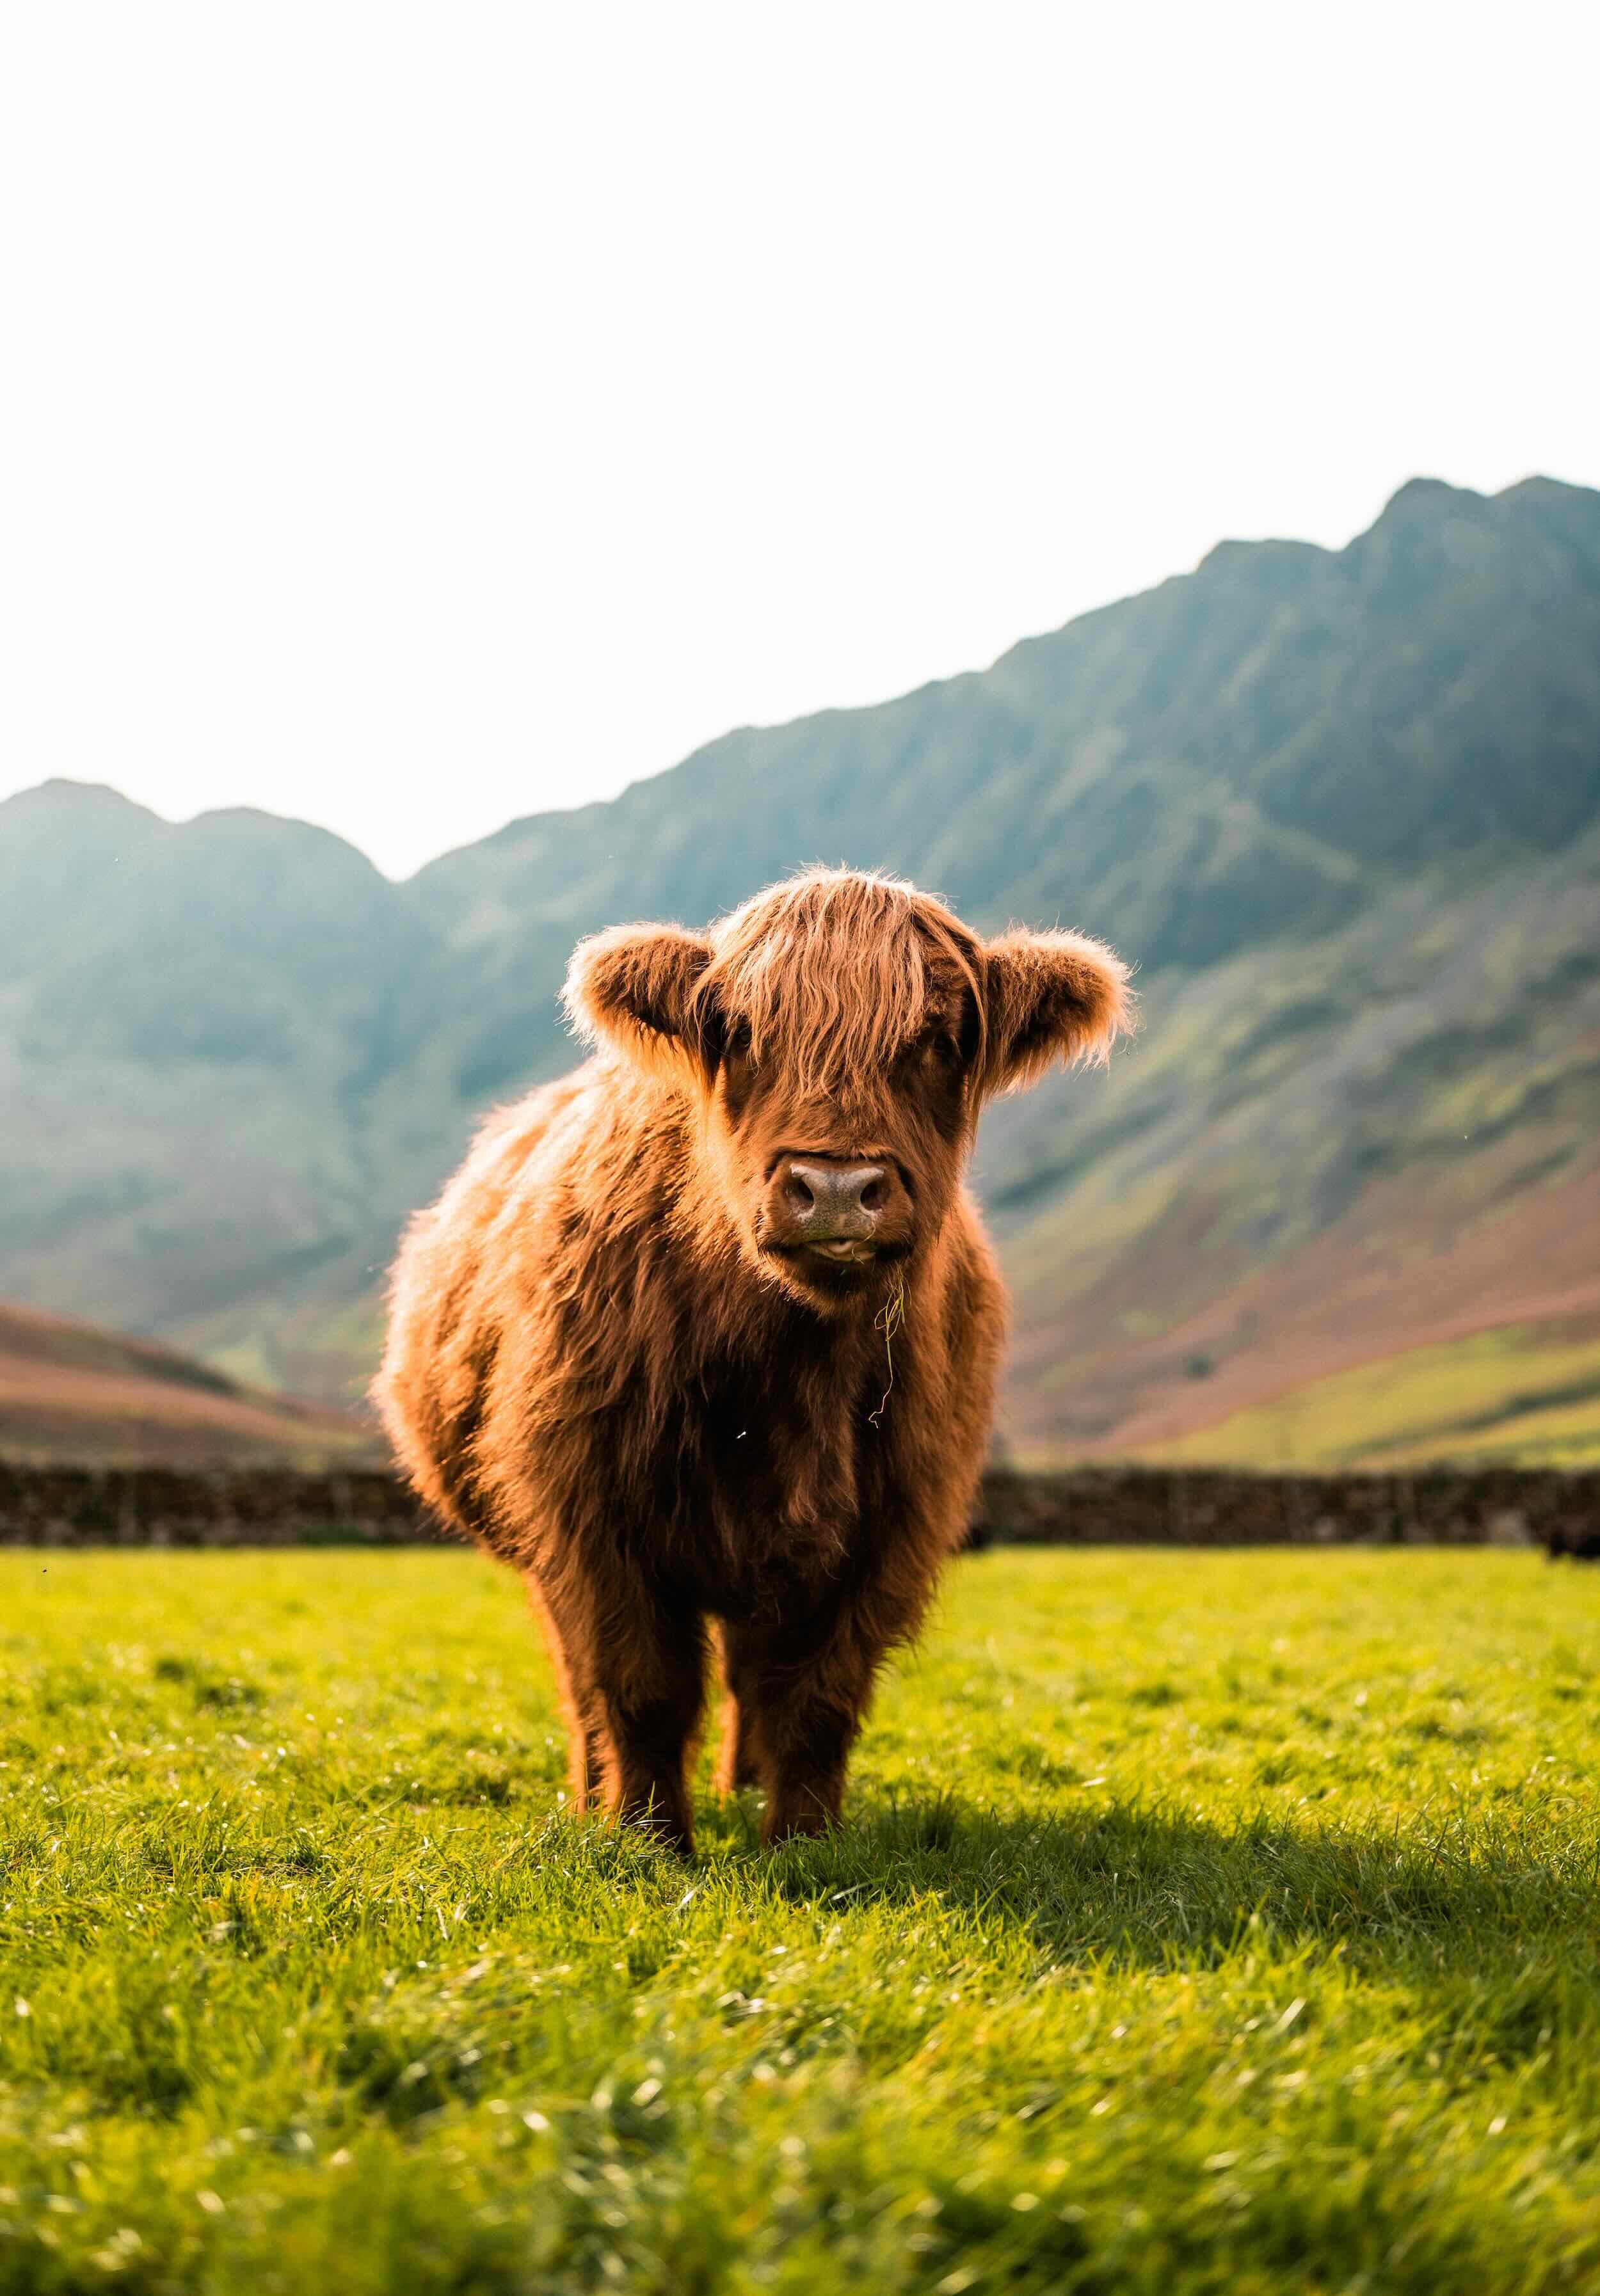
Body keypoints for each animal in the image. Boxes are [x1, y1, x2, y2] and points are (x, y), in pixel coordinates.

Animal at [376, 868, 1130, 1852]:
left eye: (939, 1037)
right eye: (736, 1031)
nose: (837, 1190)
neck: (791, 1366)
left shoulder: (887, 1529)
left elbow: (817, 1700)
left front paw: (800, 1841)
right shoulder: (590, 1514)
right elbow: (641, 1688)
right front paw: (651, 1840)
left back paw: (741, 1783)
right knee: (583, 1682)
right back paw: (593, 1795)